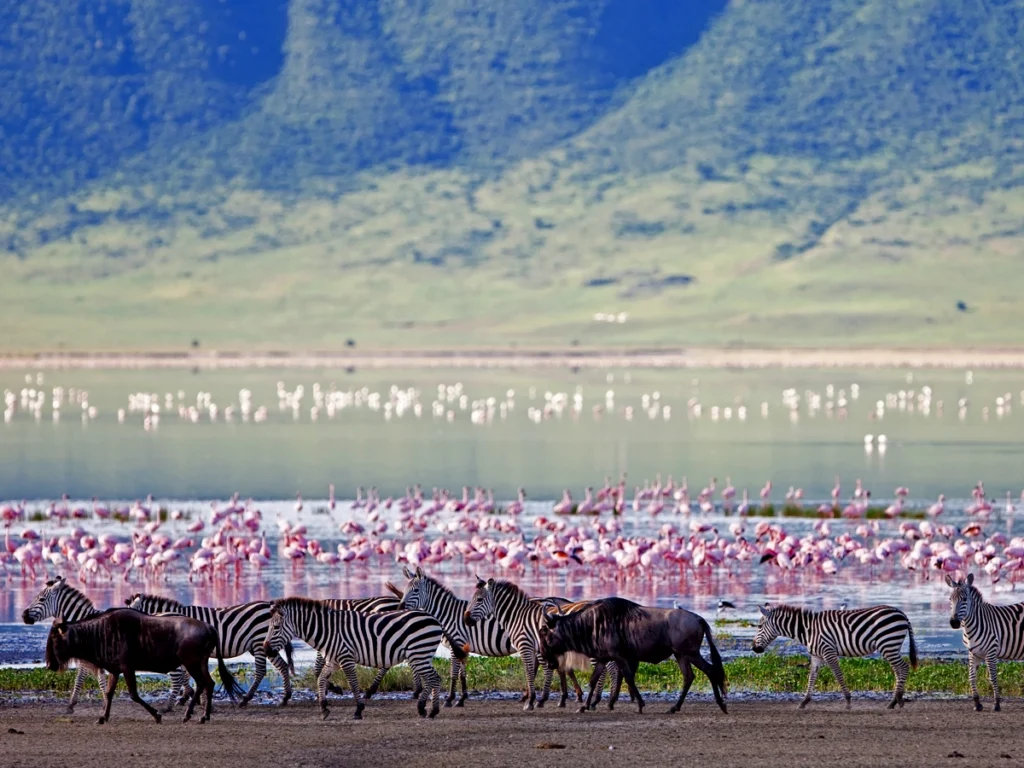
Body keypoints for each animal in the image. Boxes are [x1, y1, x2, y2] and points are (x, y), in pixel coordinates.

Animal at [23, 577, 192, 716]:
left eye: (41, 599)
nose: (24, 616)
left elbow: (82, 678)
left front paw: (76, 705)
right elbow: (97, 679)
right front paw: (102, 702)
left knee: (177, 676)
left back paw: (168, 707)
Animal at [124, 593, 292, 708]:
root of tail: (269, 605)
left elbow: (184, 674)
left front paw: (189, 696)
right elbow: (186, 674)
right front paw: (190, 696)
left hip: (259, 643)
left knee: (261, 671)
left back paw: (246, 699)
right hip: (265, 645)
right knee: (283, 666)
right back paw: (285, 697)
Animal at [264, 598, 464, 720]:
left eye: (275, 627)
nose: (265, 649)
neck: (329, 630)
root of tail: (434, 619)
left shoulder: (346, 657)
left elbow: (353, 683)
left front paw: (358, 710)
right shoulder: (333, 661)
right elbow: (321, 679)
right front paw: (324, 708)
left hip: (419, 653)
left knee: (434, 678)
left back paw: (432, 711)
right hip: (420, 655)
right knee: (432, 679)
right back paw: (423, 708)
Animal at [749, 606, 917, 712]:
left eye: (759, 627)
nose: (754, 648)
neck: (808, 630)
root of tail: (902, 614)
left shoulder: (828, 651)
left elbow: (838, 675)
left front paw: (848, 701)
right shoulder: (816, 656)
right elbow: (812, 677)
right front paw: (804, 701)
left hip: (888, 644)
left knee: (903, 667)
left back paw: (896, 700)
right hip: (891, 646)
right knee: (898, 669)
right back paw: (894, 701)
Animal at [942, 573, 1024, 712]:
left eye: (965, 599)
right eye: (950, 599)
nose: (954, 623)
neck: (970, 627)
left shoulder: (991, 652)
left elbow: (993, 677)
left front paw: (996, 704)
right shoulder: (973, 653)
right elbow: (971, 677)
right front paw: (977, 703)